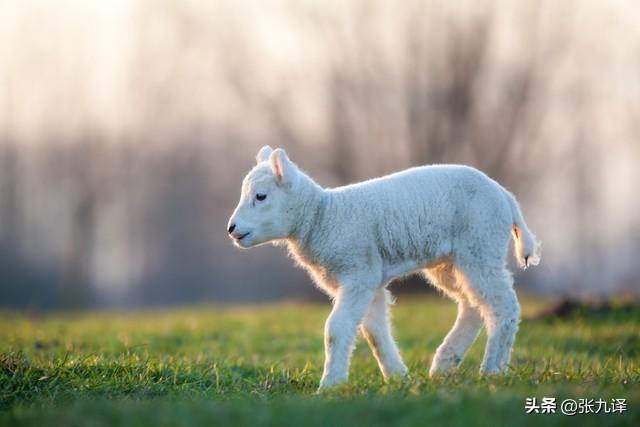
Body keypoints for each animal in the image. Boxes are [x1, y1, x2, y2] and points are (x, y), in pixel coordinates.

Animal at [228, 145, 536, 390]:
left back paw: (492, 370)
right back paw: (444, 365)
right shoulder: (369, 278)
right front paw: (398, 377)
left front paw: (330, 385)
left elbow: (336, 328)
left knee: (502, 305)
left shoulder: (358, 273)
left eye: (261, 196)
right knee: (473, 303)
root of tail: (504, 194)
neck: (322, 216)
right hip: (451, 261)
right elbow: (374, 332)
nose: (231, 229)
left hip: (479, 245)